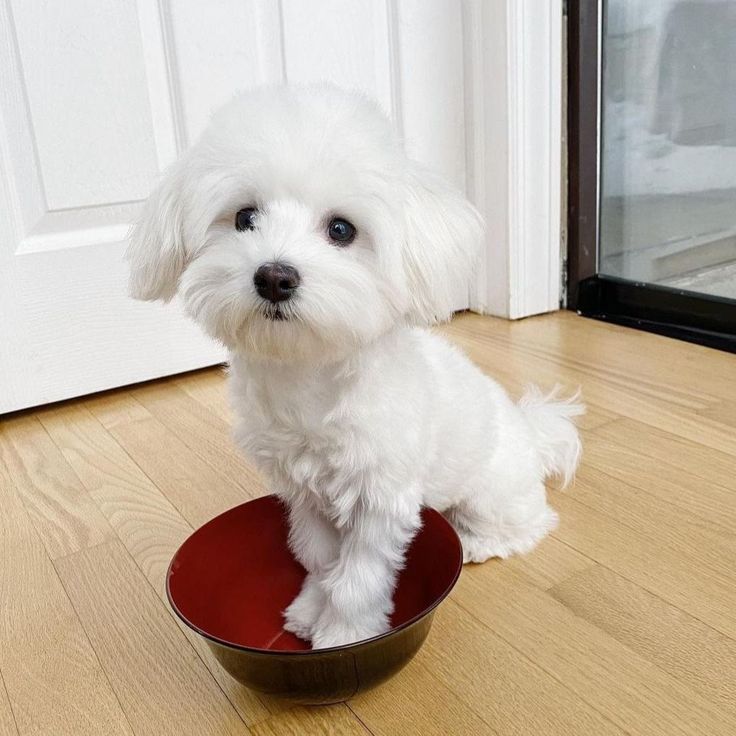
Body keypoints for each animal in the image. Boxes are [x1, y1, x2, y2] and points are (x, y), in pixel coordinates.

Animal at [129, 87, 584, 648]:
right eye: (244, 218)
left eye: (341, 230)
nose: (274, 276)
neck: (310, 376)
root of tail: (533, 432)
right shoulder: (305, 497)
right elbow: (321, 561)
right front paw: (309, 608)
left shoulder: (379, 500)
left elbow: (356, 579)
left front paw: (342, 634)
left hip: (490, 491)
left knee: (529, 523)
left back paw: (478, 540)